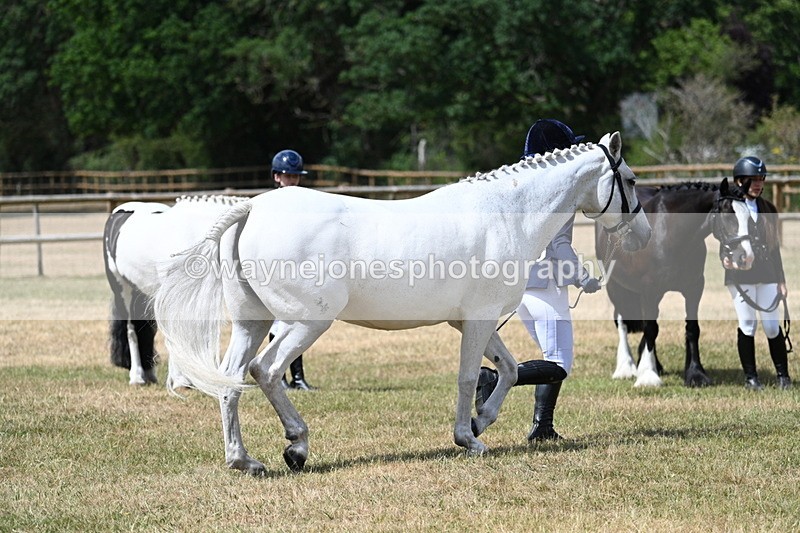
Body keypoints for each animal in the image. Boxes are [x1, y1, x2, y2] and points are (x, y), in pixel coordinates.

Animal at [154, 132, 652, 475]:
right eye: (629, 180)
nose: (643, 236)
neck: (506, 214)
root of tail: (253, 207)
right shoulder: (477, 322)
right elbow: (469, 377)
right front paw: (468, 439)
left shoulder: (473, 322)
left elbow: (509, 370)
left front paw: (481, 422)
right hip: (306, 323)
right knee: (267, 371)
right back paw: (296, 445)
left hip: (252, 323)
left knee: (231, 380)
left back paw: (244, 460)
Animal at [595, 178, 755, 388]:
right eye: (728, 215)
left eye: (749, 218)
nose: (746, 257)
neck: (670, 233)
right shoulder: (649, 290)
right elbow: (650, 329)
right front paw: (648, 376)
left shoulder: (694, 288)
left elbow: (692, 329)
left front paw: (695, 373)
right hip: (616, 286)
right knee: (621, 321)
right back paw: (625, 368)